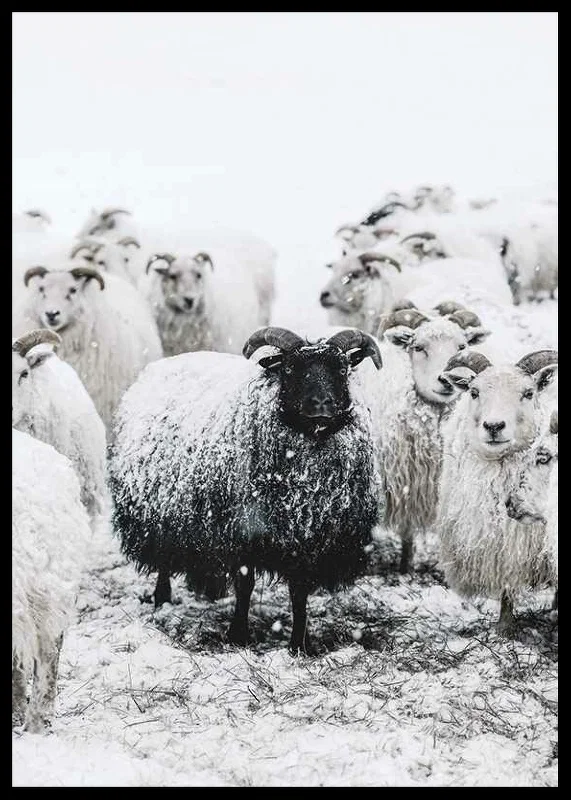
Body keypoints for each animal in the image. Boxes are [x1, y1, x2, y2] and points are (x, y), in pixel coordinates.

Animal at [108, 326, 384, 654]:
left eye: (341, 369)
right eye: (289, 369)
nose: (322, 405)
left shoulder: (308, 540)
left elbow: (299, 592)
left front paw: (299, 645)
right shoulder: (241, 532)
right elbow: (245, 585)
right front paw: (238, 635)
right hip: (159, 513)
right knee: (164, 558)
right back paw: (162, 599)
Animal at [374, 302, 491, 573]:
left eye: (462, 347)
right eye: (418, 347)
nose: (445, 380)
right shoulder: (405, 482)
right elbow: (407, 532)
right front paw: (405, 567)